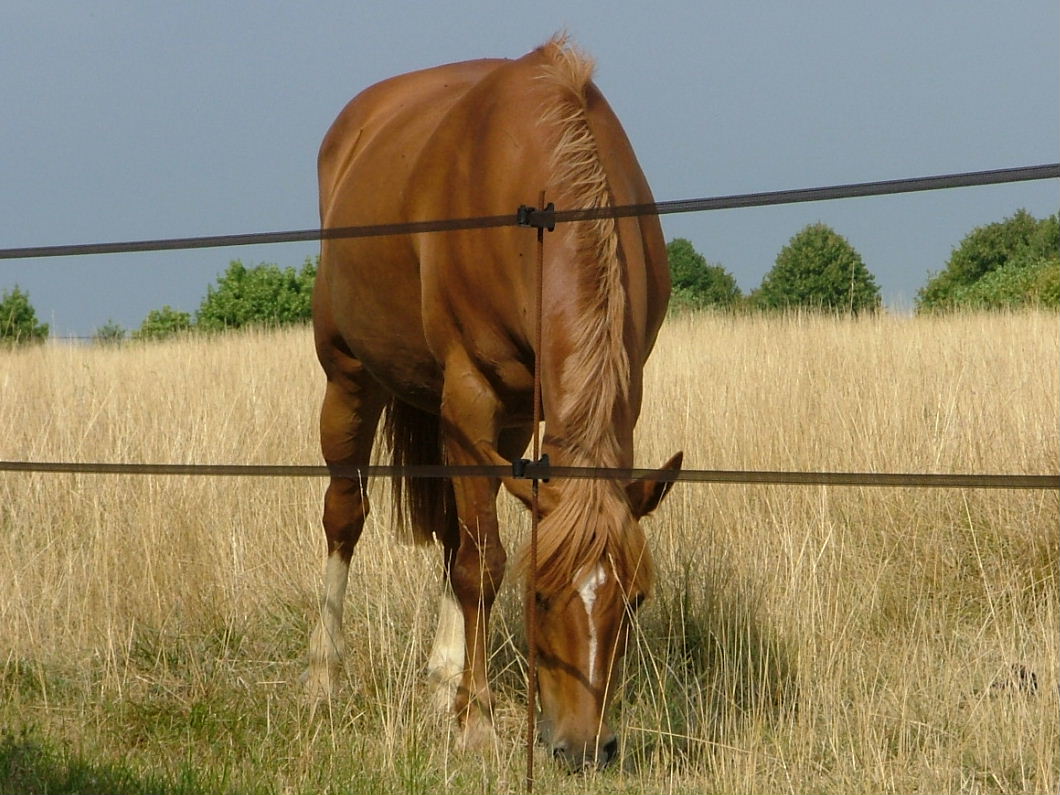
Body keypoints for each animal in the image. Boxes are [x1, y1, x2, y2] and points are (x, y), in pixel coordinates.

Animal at [307, 37, 682, 771]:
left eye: (636, 600)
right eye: (540, 597)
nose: (585, 748)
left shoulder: (590, 402)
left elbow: (468, 550)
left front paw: (458, 698)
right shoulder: (469, 396)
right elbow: (484, 566)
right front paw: (476, 723)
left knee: (455, 532)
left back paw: (443, 678)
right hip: (350, 377)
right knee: (346, 513)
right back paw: (325, 673)